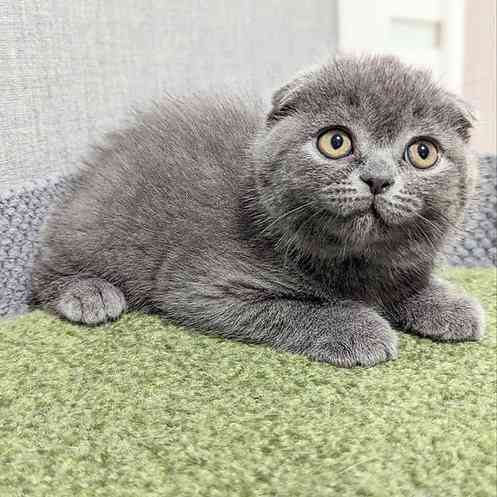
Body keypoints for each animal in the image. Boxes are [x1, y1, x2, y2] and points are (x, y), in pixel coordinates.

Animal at [31, 54, 484, 366]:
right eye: (335, 142)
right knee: (43, 274)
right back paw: (88, 293)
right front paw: (359, 327)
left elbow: (407, 284)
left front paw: (447, 303)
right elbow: (294, 309)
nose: (377, 178)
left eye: (423, 152)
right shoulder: (202, 286)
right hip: (97, 225)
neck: (353, 263)